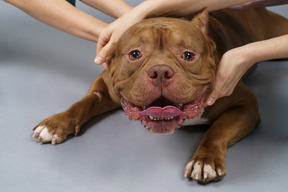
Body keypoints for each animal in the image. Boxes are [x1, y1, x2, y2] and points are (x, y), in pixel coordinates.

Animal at [32, 8, 288, 183]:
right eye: (135, 54)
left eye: (188, 55)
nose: (161, 71)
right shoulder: (105, 85)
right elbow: (83, 103)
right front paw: (57, 124)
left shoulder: (246, 105)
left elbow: (218, 130)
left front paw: (204, 160)